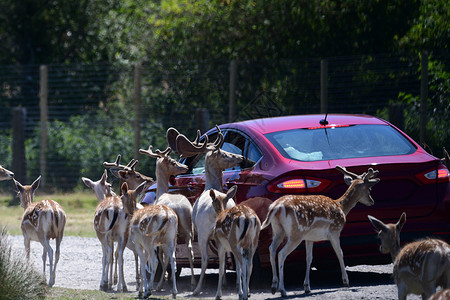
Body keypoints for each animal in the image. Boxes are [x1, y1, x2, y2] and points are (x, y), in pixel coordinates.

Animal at [139, 144, 197, 290]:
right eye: (172, 161)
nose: (185, 167)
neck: (161, 193)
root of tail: (181, 209)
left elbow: (161, 255)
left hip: (172, 231)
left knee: (169, 255)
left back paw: (160, 284)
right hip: (188, 227)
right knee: (190, 250)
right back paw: (193, 283)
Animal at [174, 126, 246, 296]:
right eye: (224, 153)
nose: (240, 157)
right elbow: (224, 256)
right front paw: (225, 282)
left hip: (203, 231)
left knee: (206, 258)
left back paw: (198, 288)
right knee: (232, 255)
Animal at [260, 165, 380, 296]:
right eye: (369, 189)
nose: (372, 201)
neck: (341, 207)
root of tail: (275, 207)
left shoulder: (310, 238)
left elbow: (309, 258)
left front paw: (307, 287)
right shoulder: (335, 231)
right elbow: (340, 253)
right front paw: (346, 282)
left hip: (278, 230)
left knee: (272, 249)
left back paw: (273, 286)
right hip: (295, 233)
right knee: (281, 253)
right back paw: (282, 290)